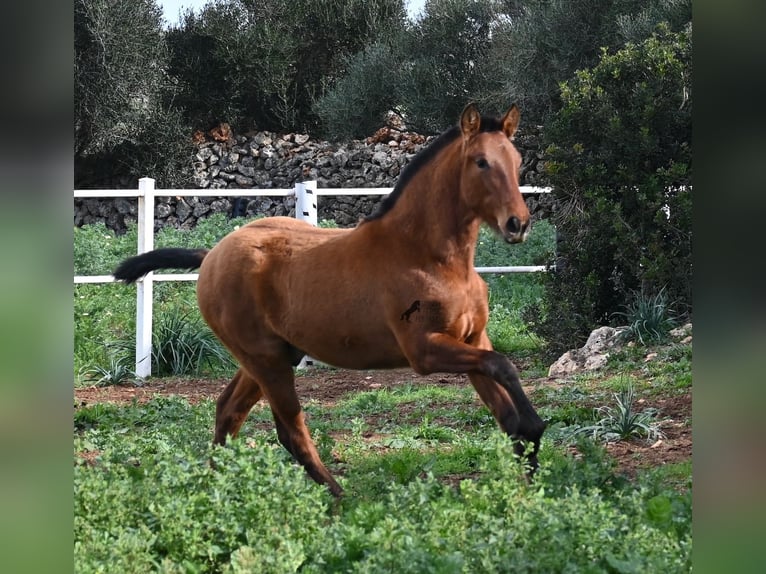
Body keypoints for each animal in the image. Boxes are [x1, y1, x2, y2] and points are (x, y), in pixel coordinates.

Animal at [112, 104, 544, 500]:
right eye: (481, 162)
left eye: (517, 160)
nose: (518, 224)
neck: (428, 256)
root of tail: (212, 255)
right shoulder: (425, 350)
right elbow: (503, 366)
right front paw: (534, 436)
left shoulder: (472, 339)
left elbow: (503, 403)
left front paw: (528, 473)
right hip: (266, 361)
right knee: (289, 429)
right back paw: (338, 498)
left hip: (270, 357)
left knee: (228, 410)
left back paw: (214, 490)